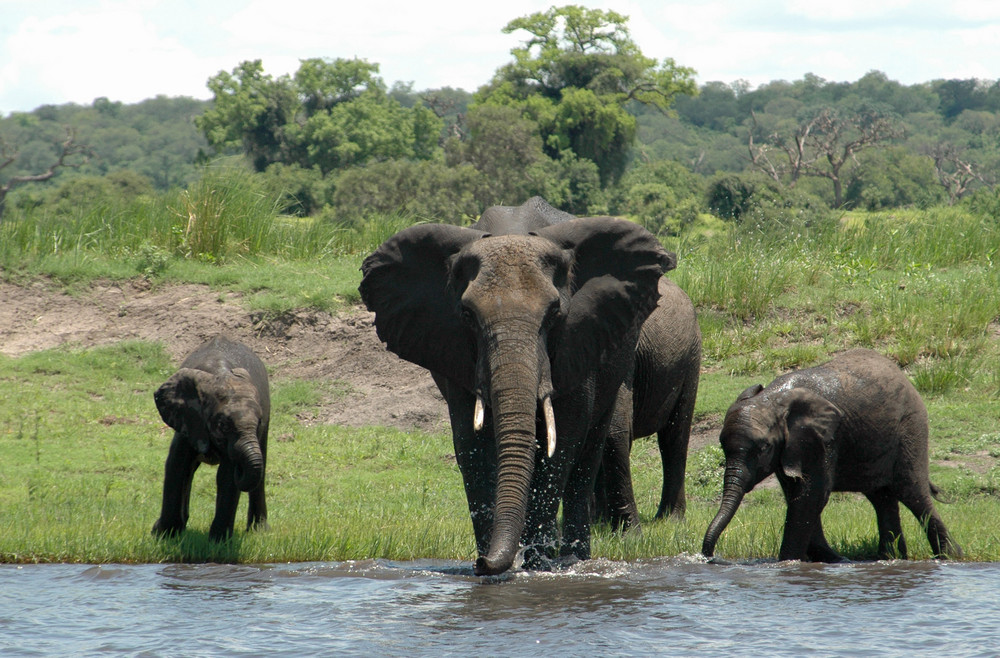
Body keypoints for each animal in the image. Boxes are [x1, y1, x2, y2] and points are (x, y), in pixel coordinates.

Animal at [151, 336, 270, 540]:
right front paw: (163, 535)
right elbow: (177, 464)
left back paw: (259, 530)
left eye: (259, 421)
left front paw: (219, 541)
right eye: (223, 425)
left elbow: (227, 476)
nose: (241, 468)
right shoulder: (189, 420)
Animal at [360, 211, 672, 576]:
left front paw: (536, 565)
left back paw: (574, 559)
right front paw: (492, 564)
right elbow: (471, 443)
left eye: (555, 313)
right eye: (467, 315)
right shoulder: (455, 351)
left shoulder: (578, 340)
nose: (481, 562)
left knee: (588, 454)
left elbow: (562, 441)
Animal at [700, 346, 964, 560]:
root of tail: (904, 376)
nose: (709, 557)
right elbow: (798, 493)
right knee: (882, 498)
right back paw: (890, 558)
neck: (774, 399)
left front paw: (788, 563)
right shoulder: (793, 447)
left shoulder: (822, 440)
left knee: (913, 493)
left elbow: (812, 495)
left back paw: (949, 556)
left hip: (911, 428)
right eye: (722, 447)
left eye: (764, 448)